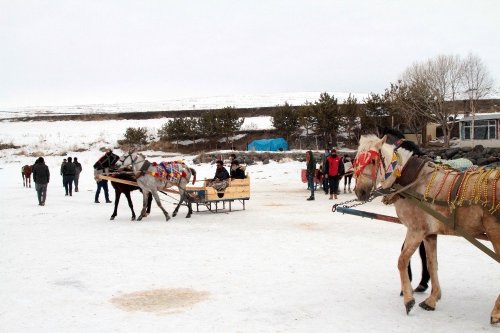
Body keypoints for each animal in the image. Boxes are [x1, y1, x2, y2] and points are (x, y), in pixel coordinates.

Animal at [354, 134, 500, 322]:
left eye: (372, 160)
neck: (412, 182)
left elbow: (402, 261)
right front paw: (433, 299)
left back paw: (496, 312)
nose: (360, 192)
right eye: (356, 160)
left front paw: (409, 300)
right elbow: (432, 264)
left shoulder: (416, 230)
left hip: (495, 233)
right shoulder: (429, 233)